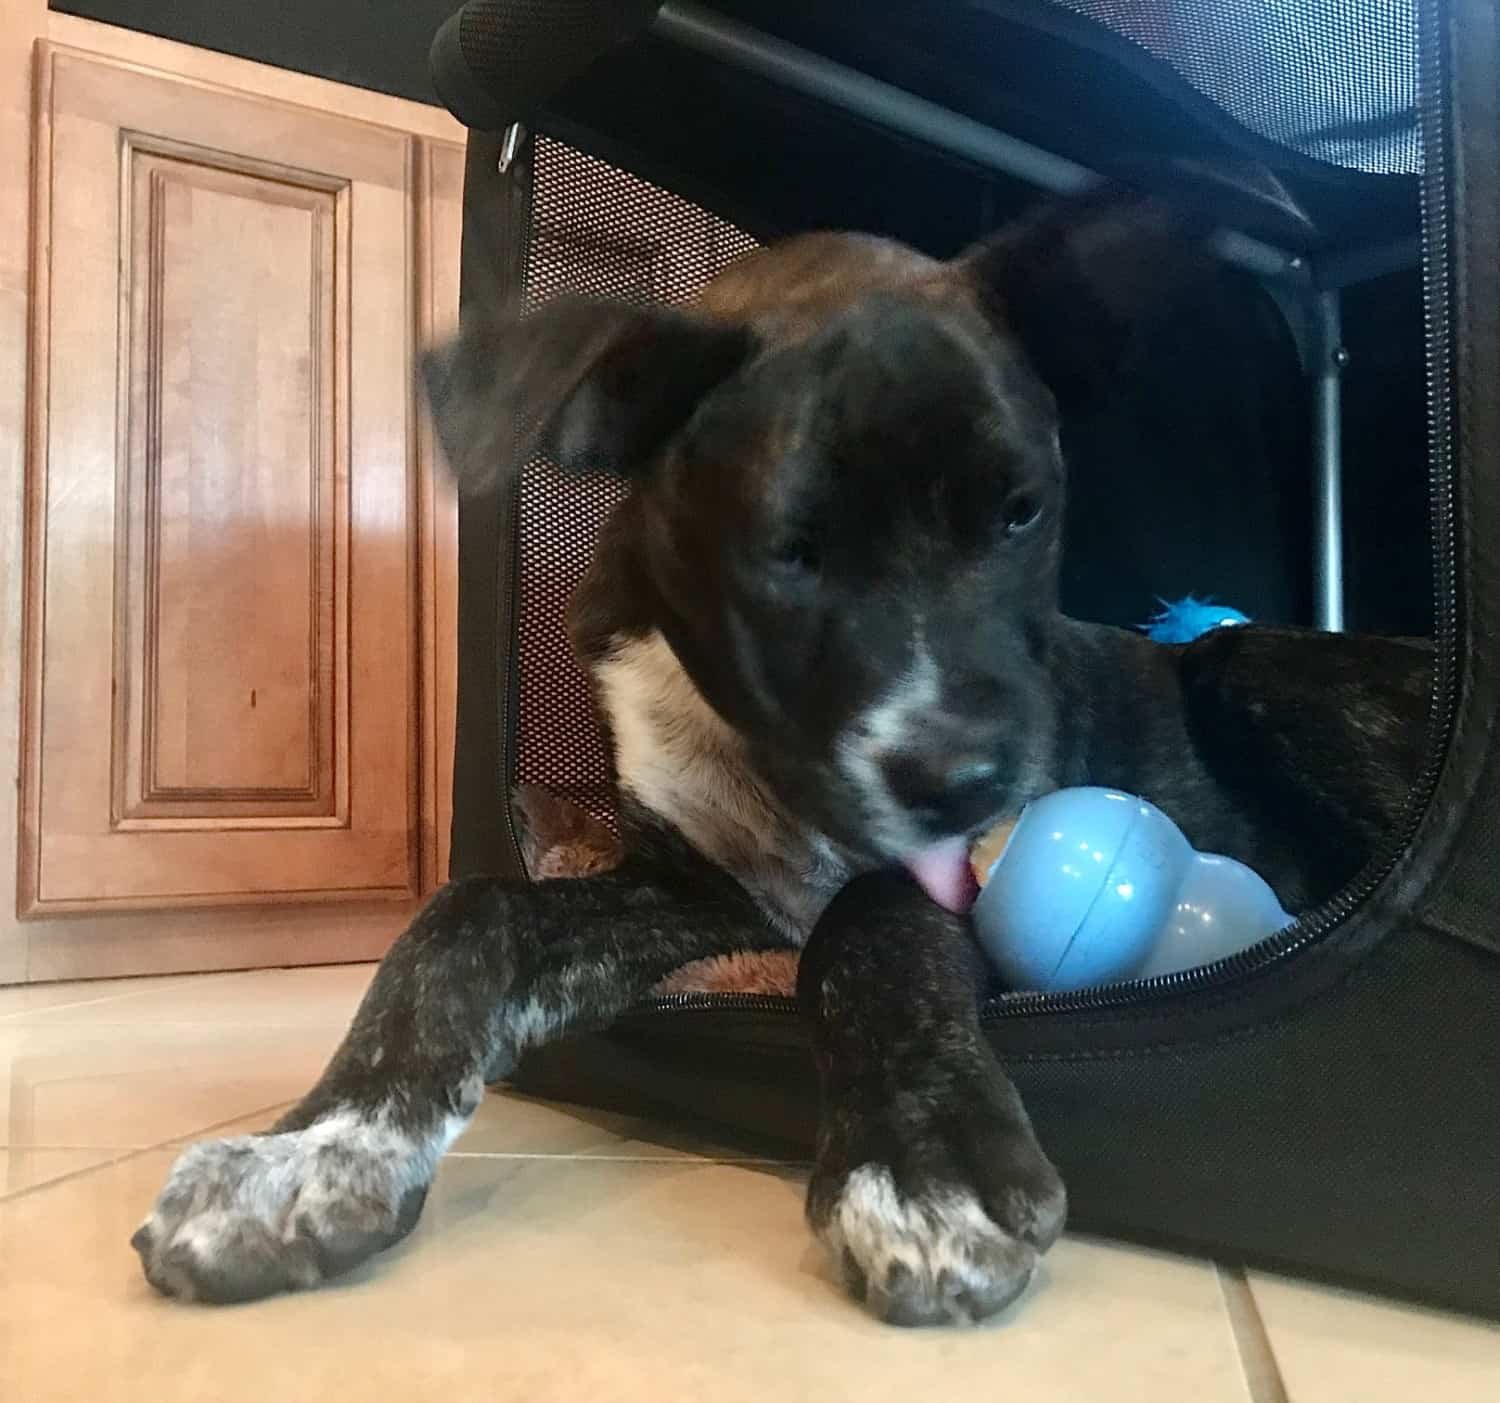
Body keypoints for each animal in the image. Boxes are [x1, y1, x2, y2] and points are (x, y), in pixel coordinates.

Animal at [132, 189, 1428, 1326]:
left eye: (1022, 511)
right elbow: (467, 913)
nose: (970, 784)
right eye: (787, 553)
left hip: (1258, 665)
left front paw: (918, 1167)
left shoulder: (927, 877)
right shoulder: (691, 886)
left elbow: (873, 918)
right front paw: (313, 1149)